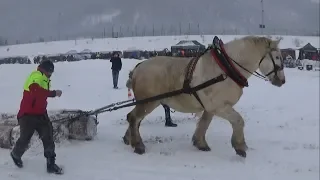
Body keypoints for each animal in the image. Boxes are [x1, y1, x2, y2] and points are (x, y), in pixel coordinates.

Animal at [124, 35, 284, 157]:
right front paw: (240, 146)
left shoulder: (210, 108)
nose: (282, 81)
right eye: (277, 57)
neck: (225, 69)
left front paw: (200, 143)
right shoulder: (219, 106)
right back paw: (138, 145)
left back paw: (128, 139)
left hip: (147, 102)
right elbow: (238, 121)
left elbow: (204, 124)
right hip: (148, 102)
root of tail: (138, 66)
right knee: (134, 118)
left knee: (134, 119)